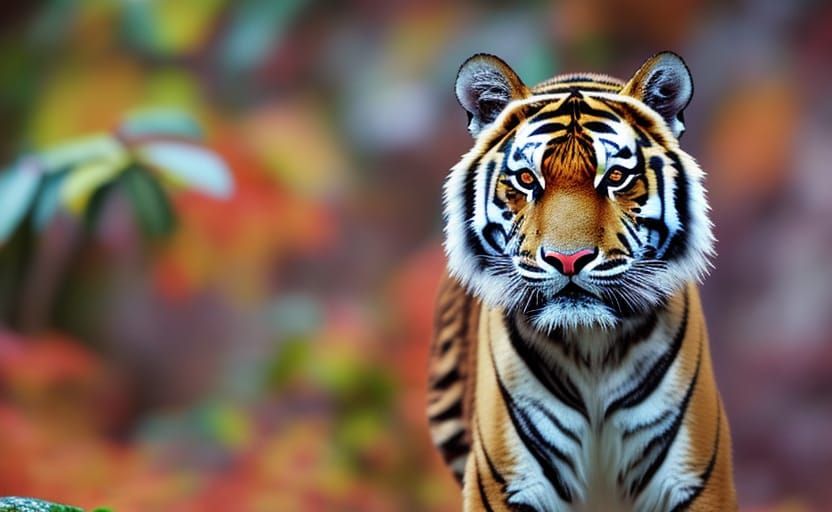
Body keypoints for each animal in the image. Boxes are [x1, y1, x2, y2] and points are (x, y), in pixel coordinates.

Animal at [427, 52, 737, 511]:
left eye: (615, 178)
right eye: (526, 179)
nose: (567, 260)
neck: (593, 348)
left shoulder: (693, 479)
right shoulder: (510, 483)